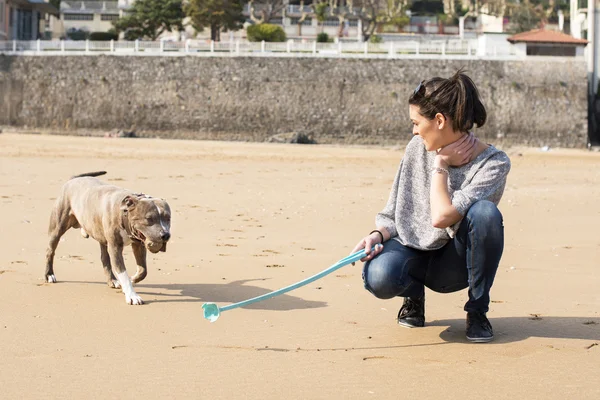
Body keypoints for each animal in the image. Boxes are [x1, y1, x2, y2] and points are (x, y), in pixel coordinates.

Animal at [44, 170, 171, 304]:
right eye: (149, 219)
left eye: (168, 218)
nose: (165, 235)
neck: (124, 213)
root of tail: (72, 180)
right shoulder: (115, 248)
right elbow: (123, 273)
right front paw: (132, 295)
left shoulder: (138, 244)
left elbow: (143, 271)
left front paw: (132, 279)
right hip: (57, 228)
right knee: (50, 250)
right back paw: (49, 274)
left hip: (102, 237)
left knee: (104, 258)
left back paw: (112, 280)